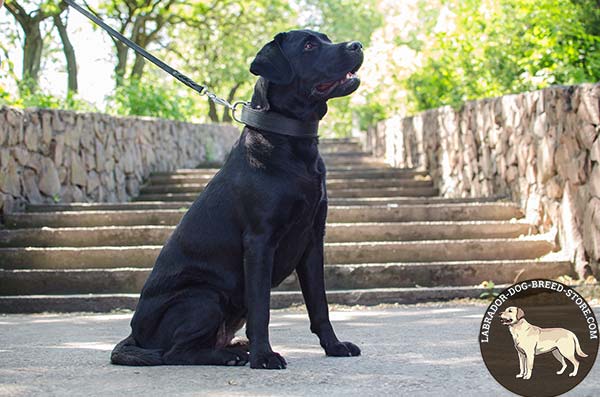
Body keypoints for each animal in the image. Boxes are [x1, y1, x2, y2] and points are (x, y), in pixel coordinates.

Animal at [112, 30, 364, 368]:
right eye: (309, 45)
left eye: (325, 37)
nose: (357, 45)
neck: (290, 141)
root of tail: (134, 334)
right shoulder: (259, 241)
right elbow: (262, 309)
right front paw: (264, 356)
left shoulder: (313, 239)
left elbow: (319, 304)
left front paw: (334, 346)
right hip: (202, 297)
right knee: (175, 353)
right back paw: (230, 356)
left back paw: (235, 349)